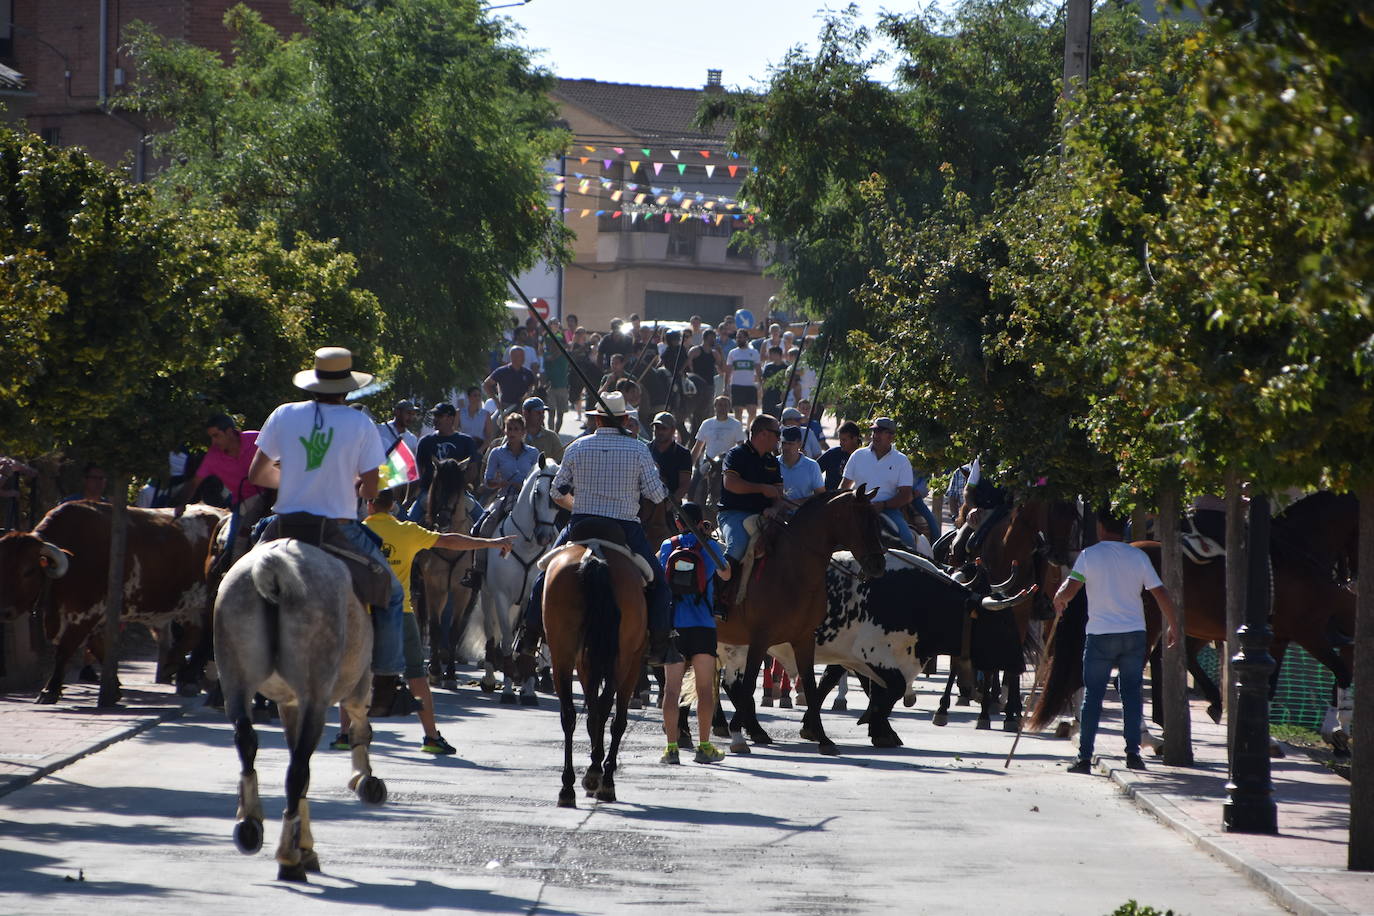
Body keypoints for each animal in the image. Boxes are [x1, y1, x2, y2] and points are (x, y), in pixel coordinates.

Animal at [0, 497, 225, 708]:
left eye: (28, 571)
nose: (5, 611)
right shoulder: (96, 617)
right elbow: (99, 649)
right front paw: (114, 689)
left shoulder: (85, 614)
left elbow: (65, 650)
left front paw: (49, 690)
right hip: (188, 606)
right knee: (195, 634)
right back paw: (175, 665)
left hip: (207, 603)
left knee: (207, 638)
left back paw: (189, 678)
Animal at [214, 541, 387, 884]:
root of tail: (274, 567)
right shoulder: (356, 685)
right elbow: (360, 725)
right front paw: (365, 779)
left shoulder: (289, 704)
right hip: (316, 694)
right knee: (297, 771)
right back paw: (289, 858)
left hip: (235, 678)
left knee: (247, 740)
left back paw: (250, 824)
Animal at [461, 461, 557, 708]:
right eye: (538, 492)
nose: (545, 536)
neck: (526, 545)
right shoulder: (501, 597)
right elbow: (504, 641)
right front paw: (506, 690)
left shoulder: (531, 600)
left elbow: (526, 644)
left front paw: (528, 690)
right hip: (487, 596)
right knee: (490, 634)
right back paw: (489, 678)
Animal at [538, 527, 645, 807]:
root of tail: (595, 556)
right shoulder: (634, 661)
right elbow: (617, 721)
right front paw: (604, 779)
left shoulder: (585, 663)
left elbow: (591, 715)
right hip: (622, 658)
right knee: (608, 709)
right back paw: (599, 776)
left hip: (562, 653)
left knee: (569, 715)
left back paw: (568, 787)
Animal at [714, 491, 884, 758]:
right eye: (862, 522)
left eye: (878, 521)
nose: (879, 565)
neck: (791, 569)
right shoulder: (760, 639)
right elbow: (749, 683)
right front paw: (737, 735)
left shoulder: (804, 639)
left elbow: (812, 686)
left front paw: (823, 739)